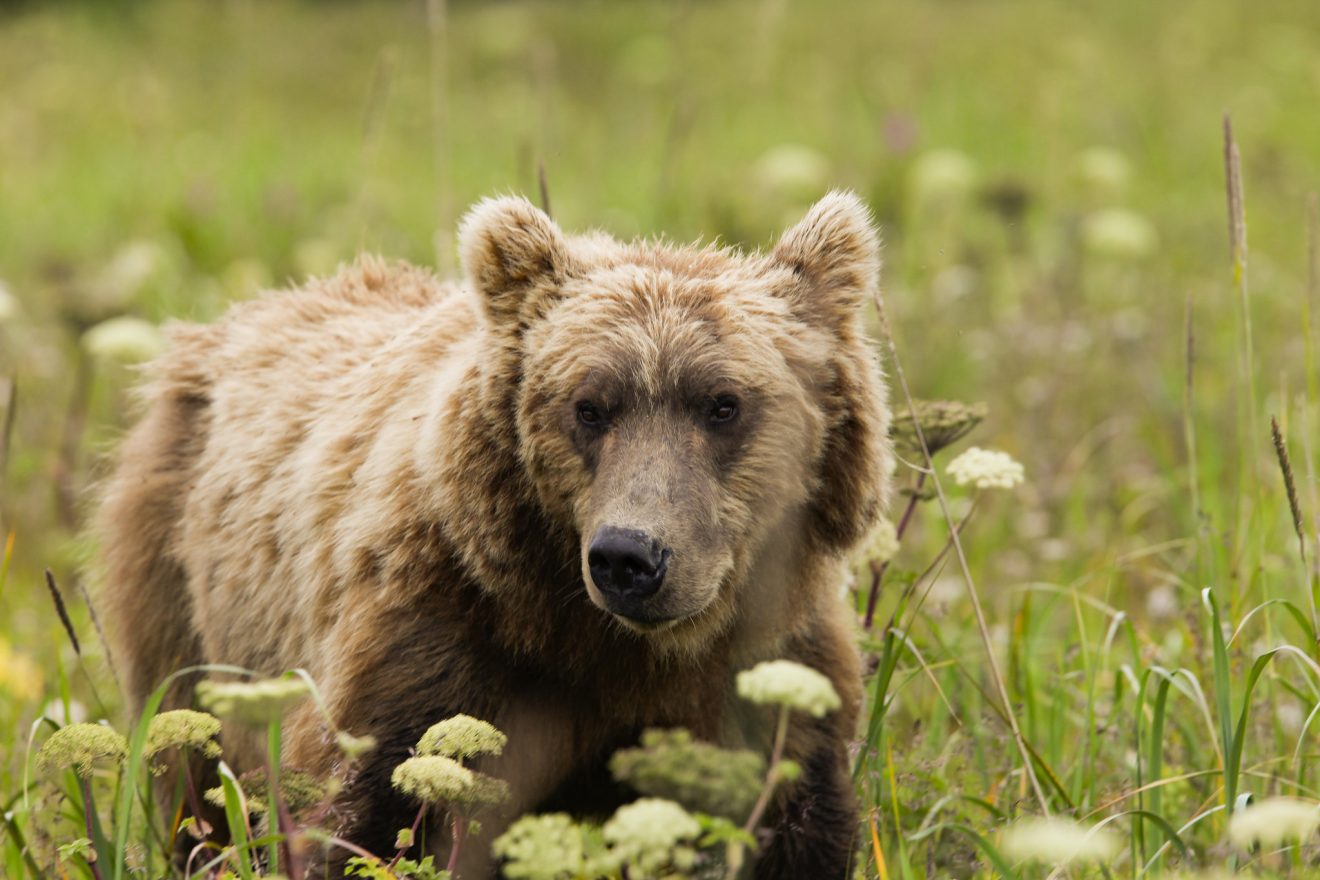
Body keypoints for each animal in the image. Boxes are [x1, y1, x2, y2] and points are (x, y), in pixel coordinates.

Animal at [97, 193, 892, 880]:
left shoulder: (771, 669)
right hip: (186, 603)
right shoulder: (441, 640)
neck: (609, 643)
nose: (629, 557)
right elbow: (365, 811)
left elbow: (797, 821)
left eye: (723, 404)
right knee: (194, 780)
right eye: (589, 405)